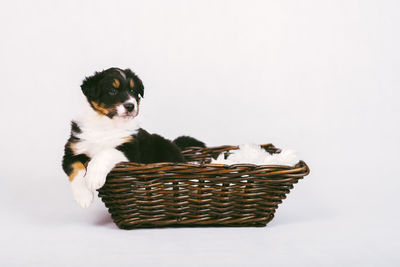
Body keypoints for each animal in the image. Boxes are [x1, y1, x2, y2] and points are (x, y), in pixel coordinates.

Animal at [63, 68, 205, 208]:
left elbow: (106, 152)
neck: (107, 125)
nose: (130, 106)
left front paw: (93, 177)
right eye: (112, 91)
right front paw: (84, 197)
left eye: (132, 91)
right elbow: (76, 168)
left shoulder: (131, 150)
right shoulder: (72, 150)